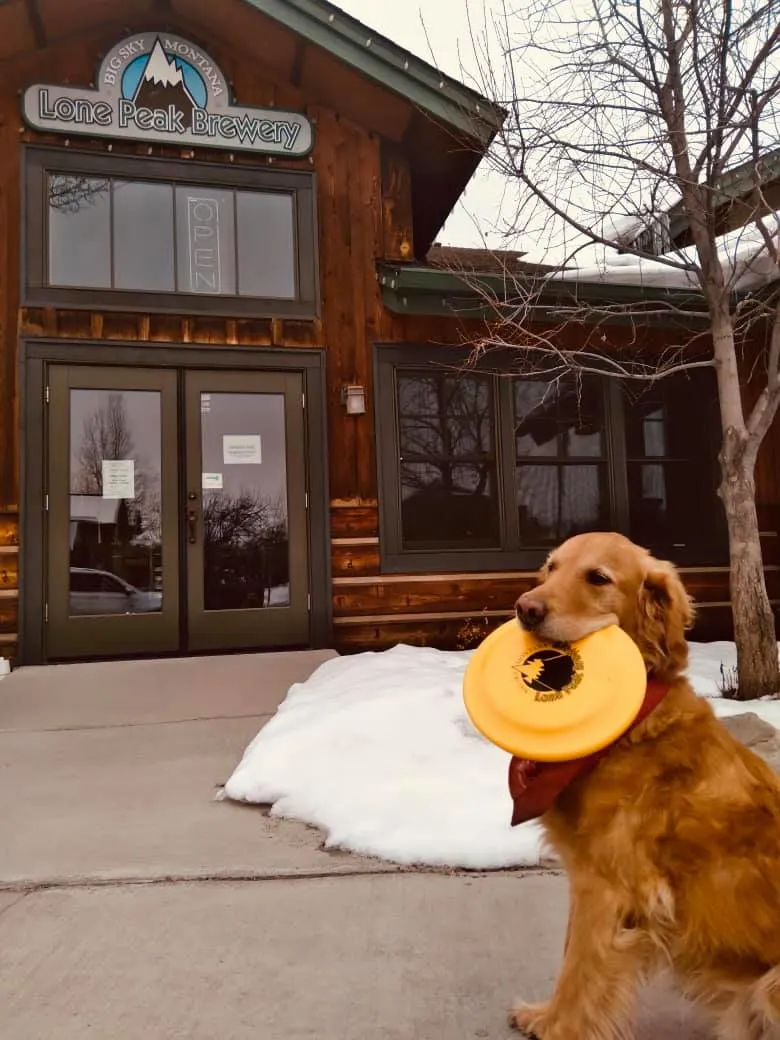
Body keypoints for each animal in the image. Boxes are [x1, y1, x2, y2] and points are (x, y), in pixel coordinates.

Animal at [509, 536, 780, 1040]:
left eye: (598, 578)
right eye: (551, 568)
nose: (525, 609)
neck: (631, 729)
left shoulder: (608, 888)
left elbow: (580, 973)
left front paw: (558, 1028)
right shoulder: (588, 881)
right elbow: (572, 960)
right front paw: (544, 1016)